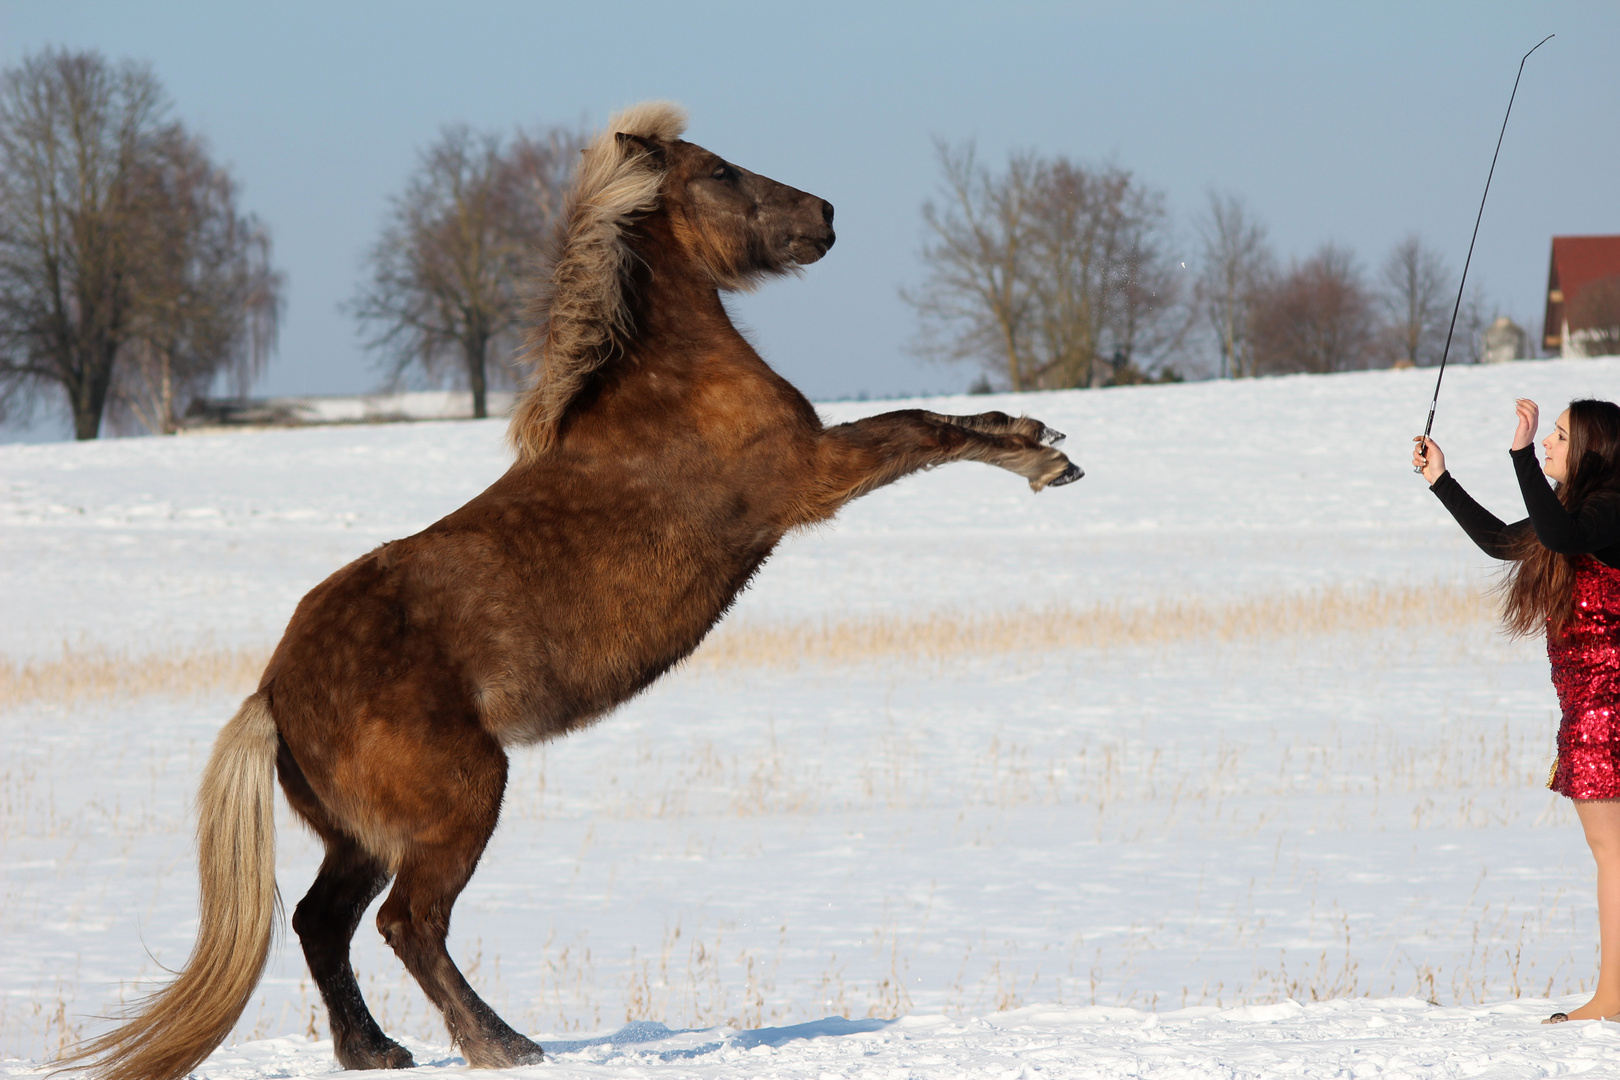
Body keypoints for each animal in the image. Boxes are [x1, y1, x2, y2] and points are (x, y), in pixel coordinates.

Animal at [78, 99, 1088, 1075]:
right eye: (721, 170)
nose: (826, 215)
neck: (671, 382)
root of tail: (273, 692)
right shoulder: (812, 477)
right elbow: (919, 427)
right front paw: (1043, 460)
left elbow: (934, 420)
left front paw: (1040, 436)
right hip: (460, 800)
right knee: (408, 924)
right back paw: (501, 1044)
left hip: (358, 837)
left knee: (322, 923)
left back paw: (377, 1051)